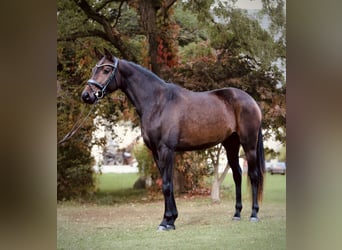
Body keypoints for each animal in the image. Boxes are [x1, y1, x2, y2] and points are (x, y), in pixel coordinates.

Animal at [81, 48, 266, 230]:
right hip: (231, 144)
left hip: (248, 145)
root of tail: (252, 101)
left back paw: (254, 214)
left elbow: (167, 185)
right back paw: (237, 214)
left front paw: (166, 221)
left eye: (106, 70)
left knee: (254, 175)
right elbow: (166, 183)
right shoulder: (156, 152)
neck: (158, 102)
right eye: (94, 69)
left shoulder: (166, 150)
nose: (86, 95)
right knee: (237, 174)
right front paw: (170, 219)